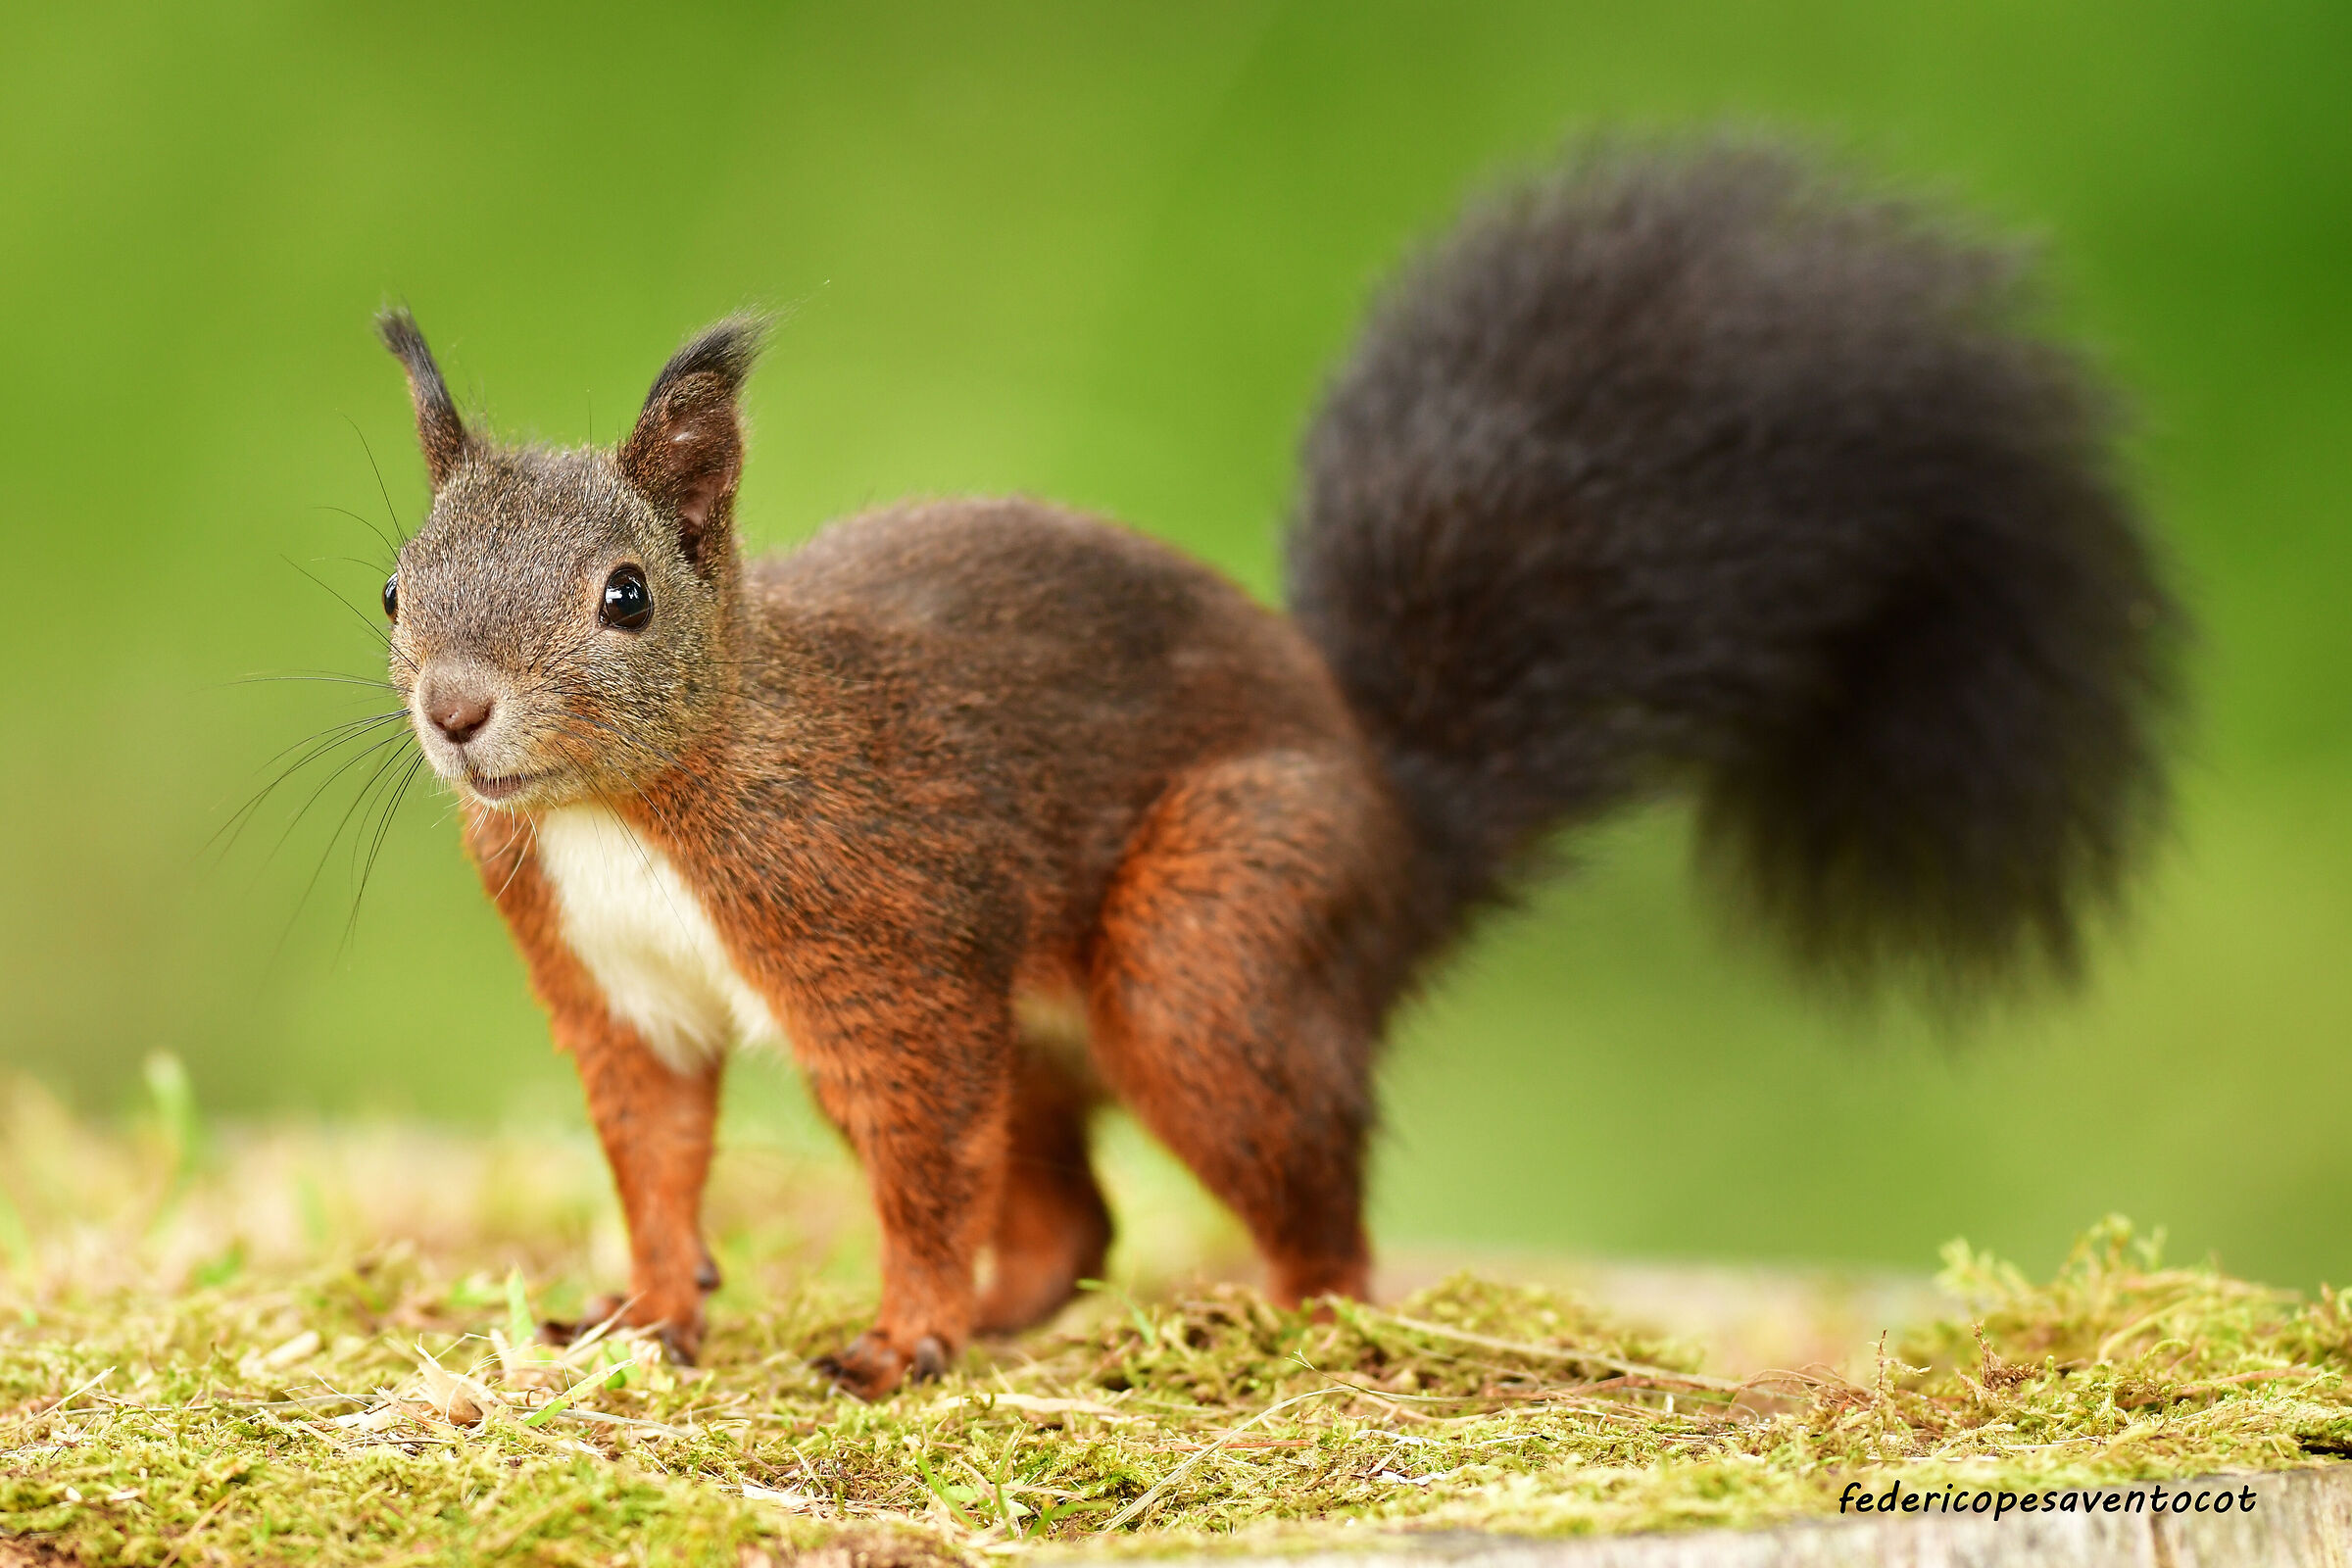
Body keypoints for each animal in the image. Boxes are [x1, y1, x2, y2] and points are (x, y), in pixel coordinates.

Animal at [371, 141, 2179, 1397]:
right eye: (396, 588)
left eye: (627, 597)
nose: (455, 712)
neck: (630, 809)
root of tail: (1400, 830)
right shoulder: (612, 982)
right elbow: (656, 1152)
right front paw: (640, 1312)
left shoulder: (886, 938)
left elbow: (918, 1162)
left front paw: (901, 1341)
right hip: (1067, 1019)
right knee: (1075, 1217)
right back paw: (1035, 1316)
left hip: (1212, 939)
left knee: (1308, 1194)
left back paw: (1284, 1313)